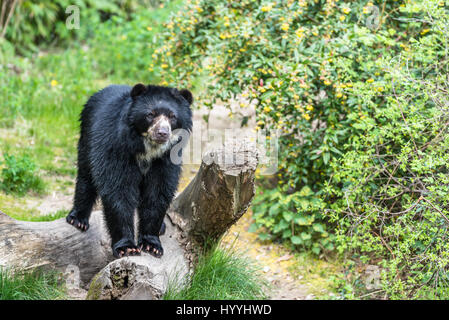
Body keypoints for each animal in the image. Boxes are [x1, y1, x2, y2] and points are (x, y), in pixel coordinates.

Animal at [65, 84, 192, 258]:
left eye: (172, 116)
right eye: (150, 114)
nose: (162, 133)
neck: (147, 149)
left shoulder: (166, 159)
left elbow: (157, 193)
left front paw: (151, 245)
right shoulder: (116, 149)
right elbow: (119, 191)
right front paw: (127, 248)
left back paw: (161, 228)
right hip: (87, 137)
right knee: (86, 176)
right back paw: (78, 219)